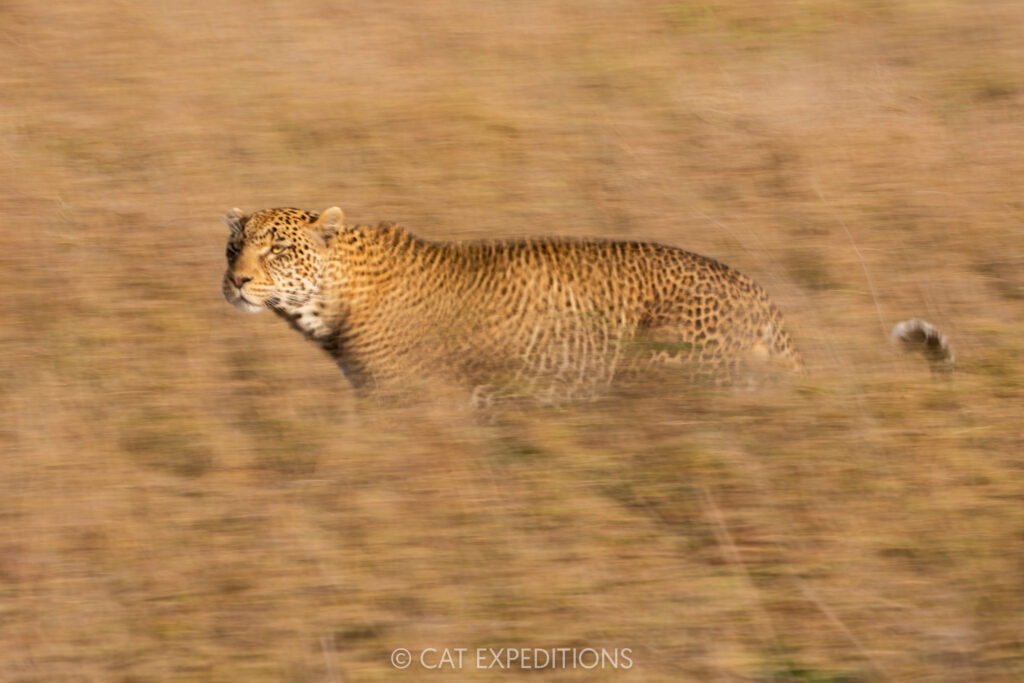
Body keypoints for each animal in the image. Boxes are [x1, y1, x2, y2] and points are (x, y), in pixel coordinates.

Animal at [222, 206, 952, 401]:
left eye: (276, 250)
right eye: (233, 247)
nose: (237, 282)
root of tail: (758, 295)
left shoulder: (413, 405)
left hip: (667, 376)